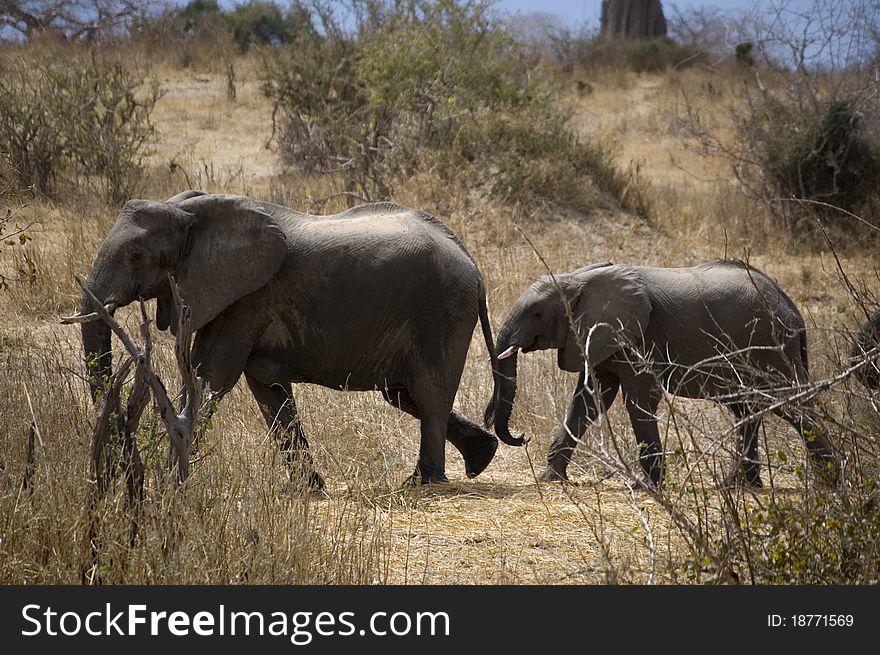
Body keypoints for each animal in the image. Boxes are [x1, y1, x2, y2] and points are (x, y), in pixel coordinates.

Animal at [70, 190, 524, 486]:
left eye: (136, 256)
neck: (189, 210)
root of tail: (472, 262)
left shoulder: (248, 296)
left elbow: (211, 375)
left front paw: (170, 482)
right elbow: (266, 390)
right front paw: (310, 489)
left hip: (442, 311)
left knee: (428, 395)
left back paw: (423, 483)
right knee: (404, 395)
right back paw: (480, 459)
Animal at [488, 260, 840, 486]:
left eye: (537, 313)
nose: (522, 437)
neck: (576, 279)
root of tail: (793, 308)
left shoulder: (638, 337)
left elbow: (638, 399)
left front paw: (649, 487)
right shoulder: (599, 337)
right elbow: (587, 401)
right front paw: (551, 479)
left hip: (772, 346)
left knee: (792, 404)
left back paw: (829, 483)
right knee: (747, 408)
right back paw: (739, 486)